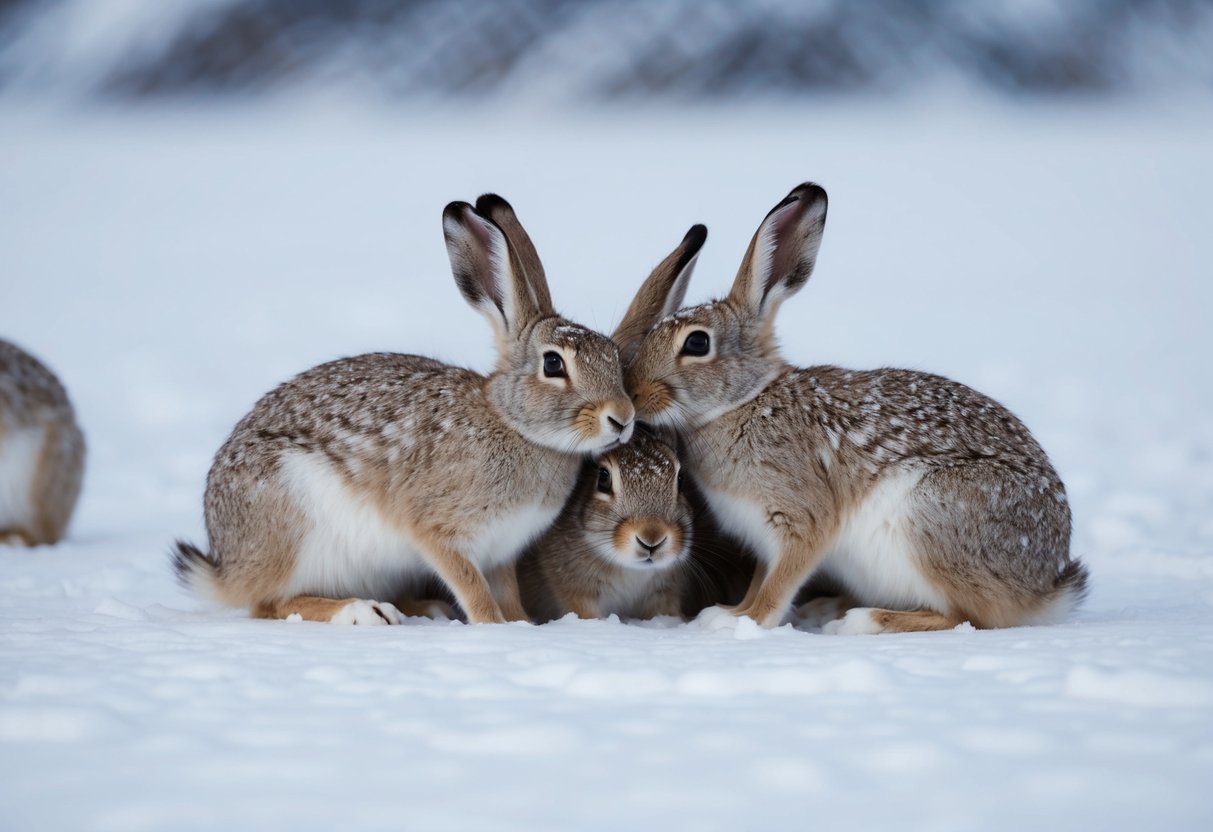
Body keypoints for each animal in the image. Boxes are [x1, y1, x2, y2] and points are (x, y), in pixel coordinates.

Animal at [172, 194, 635, 625]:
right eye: (553, 364)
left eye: (614, 357)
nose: (623, 418)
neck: (513, 423)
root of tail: (225, 566)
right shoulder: (437, 531)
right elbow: (471, 585)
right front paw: (493, 625)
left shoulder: (502, 549)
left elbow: (505, 589)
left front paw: (522, 623)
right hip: (294, 529)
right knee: (269, 604)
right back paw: (362, 611)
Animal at [623, 182, 1088, 633]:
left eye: (697, 343)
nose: (634, 392)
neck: (745, 401)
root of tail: (1046, 586)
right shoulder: (762, 536)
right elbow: (761, 578)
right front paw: (730, 611)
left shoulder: (803, 519)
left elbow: (780, 582)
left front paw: (740, 623)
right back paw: (827, 608)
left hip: (931, 518)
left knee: (969, 617)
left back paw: (861, 621)